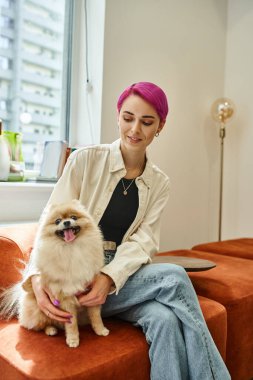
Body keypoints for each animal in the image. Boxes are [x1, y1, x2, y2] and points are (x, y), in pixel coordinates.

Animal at [0, 202, 109, 348]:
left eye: (73, 217)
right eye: (57, 221)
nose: (66, 222)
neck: (72, 249)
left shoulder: (91, 293)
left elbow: (96, 316)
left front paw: (100, 330)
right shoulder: (66, 298)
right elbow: (71, 323)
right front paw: (73, 339)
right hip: (39, 310)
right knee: (41, 325)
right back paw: (50, 329)